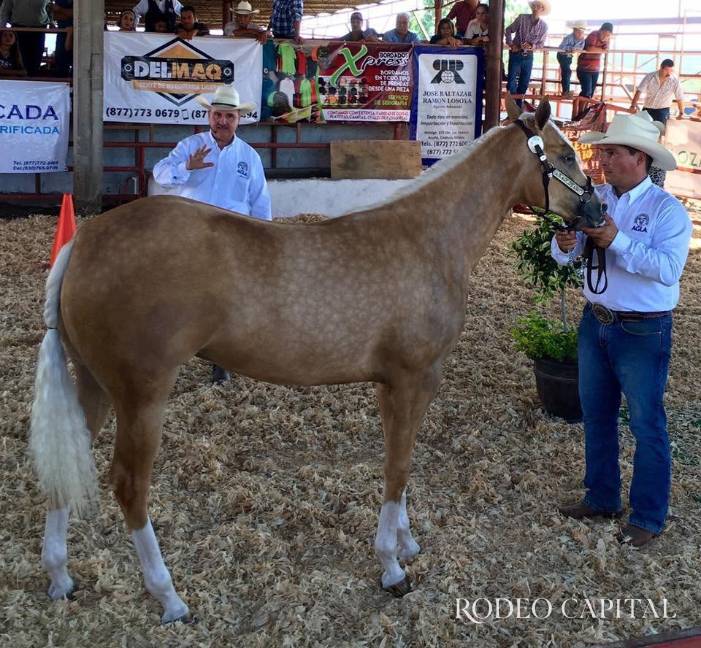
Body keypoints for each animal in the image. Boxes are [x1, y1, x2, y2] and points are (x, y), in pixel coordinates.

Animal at [30, 99, 604, 623]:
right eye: (565, 154)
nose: (599, 213)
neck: (429, 237)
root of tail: (84, 242)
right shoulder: (413, 378)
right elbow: (398, 466)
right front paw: (392, 567)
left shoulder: (394, 385)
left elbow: (399, 460)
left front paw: (406, 542)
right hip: (142, 394)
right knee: (130, 485)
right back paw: (169, 597)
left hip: (95, 386)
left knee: (65, 467)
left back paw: (60, 577)